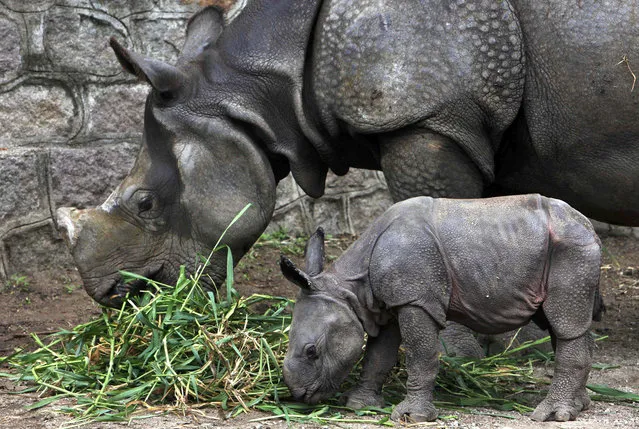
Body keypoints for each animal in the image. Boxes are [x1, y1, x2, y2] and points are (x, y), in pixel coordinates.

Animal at [56, 0, 639, 308]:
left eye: (146, 203)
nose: (112, 297)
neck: (251, 94)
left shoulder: (430, 117)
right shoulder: (474, 127)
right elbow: (490, 229)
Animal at [282, 194, 604, 422]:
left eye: (311, 352)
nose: (299, 394)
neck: (349, 288)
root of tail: (589, 226)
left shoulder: (415, 299)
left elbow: (420, 354)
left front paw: (412, 416)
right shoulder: (388, 302)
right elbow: (377, 356)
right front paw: (359, 404)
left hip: (571, 250)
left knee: (565, 322)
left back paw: (551, 415)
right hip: (561, 251)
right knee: (566, 323)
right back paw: (578, 407)